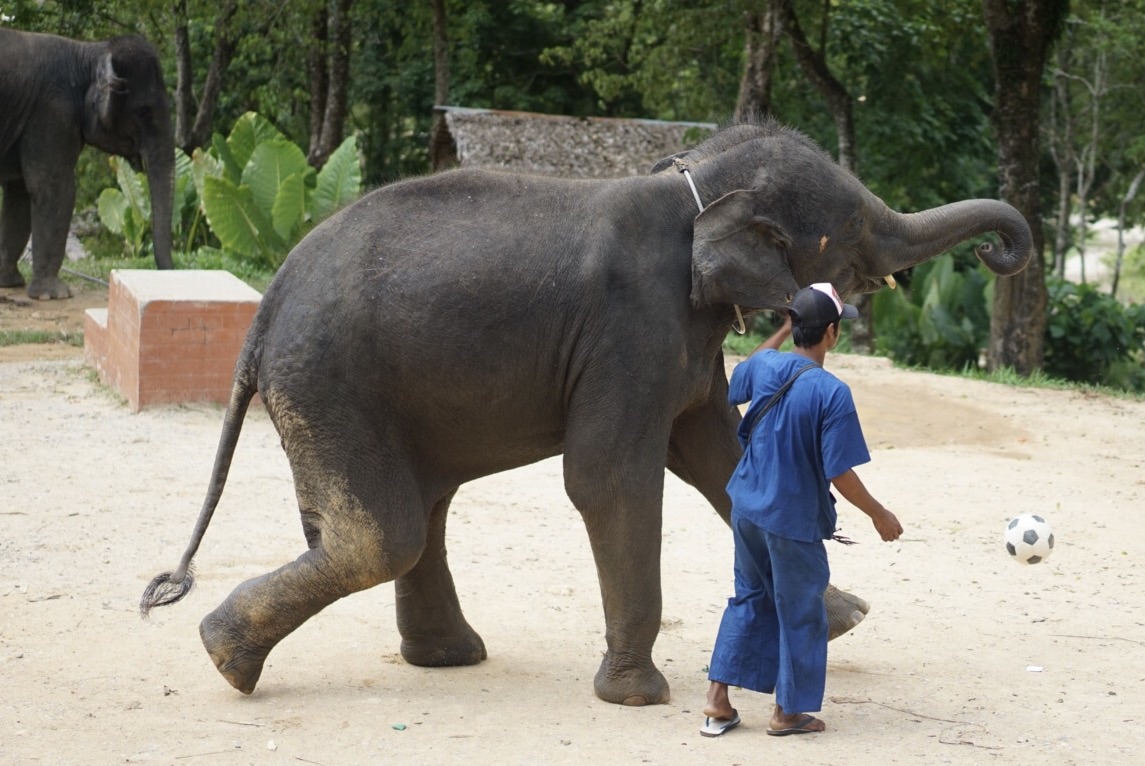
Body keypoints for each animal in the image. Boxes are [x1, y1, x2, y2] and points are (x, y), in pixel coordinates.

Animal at [0, 29, 174, 297]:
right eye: (144, 112)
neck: (89, 52)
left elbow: (19, 193)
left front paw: (10, 282)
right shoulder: (53, 112)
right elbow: (53, 189)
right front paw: (53, 295)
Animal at [138, 117, 1035, 705]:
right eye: (851, 221)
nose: (999, 250)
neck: (687, 177)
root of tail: (263, 312)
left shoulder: (683, 339)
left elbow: (719, 455)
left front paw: (843, 620)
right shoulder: (629, 327)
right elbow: (610, 478)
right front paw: (640, 697)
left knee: (416, 515)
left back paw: (440, 659)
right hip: (332, 382)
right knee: (381, 536)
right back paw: (225, 659)